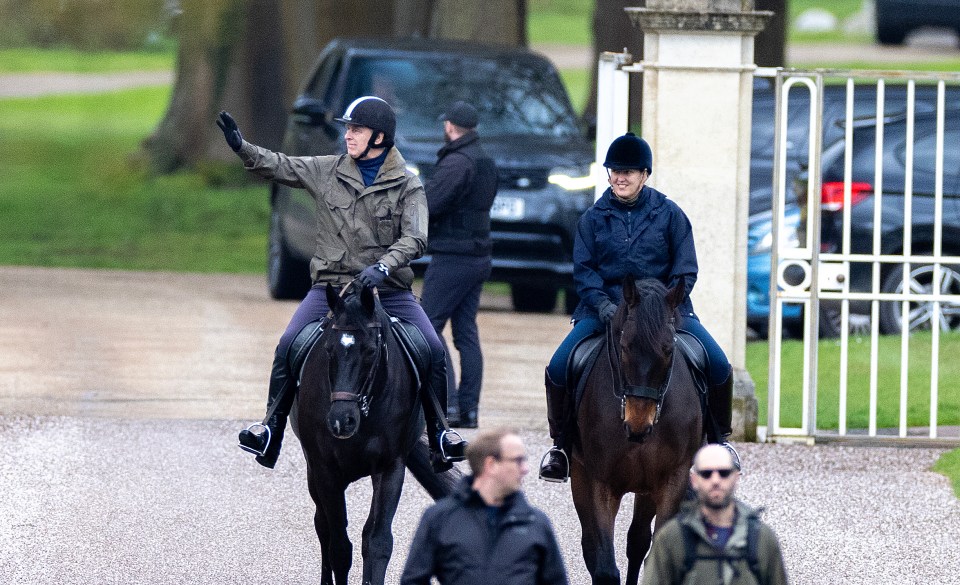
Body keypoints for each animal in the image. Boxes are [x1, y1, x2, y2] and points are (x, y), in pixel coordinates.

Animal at [290, 282, 460, 584]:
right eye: (329, 350)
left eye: (370, 351)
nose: (340, 421)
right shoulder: (325, 470)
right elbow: (339, 547)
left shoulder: (390, 467)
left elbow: (378, 541)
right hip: (314, 472)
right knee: (323, 526)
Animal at [568, 278, 704, 584]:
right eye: (624, 346)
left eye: (668, 349)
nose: (638, 424)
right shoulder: (601, 481)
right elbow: (605, 565)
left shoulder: (671, 479)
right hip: (580, 475)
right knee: (590, 545)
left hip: (646, 488)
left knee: (637, 542)